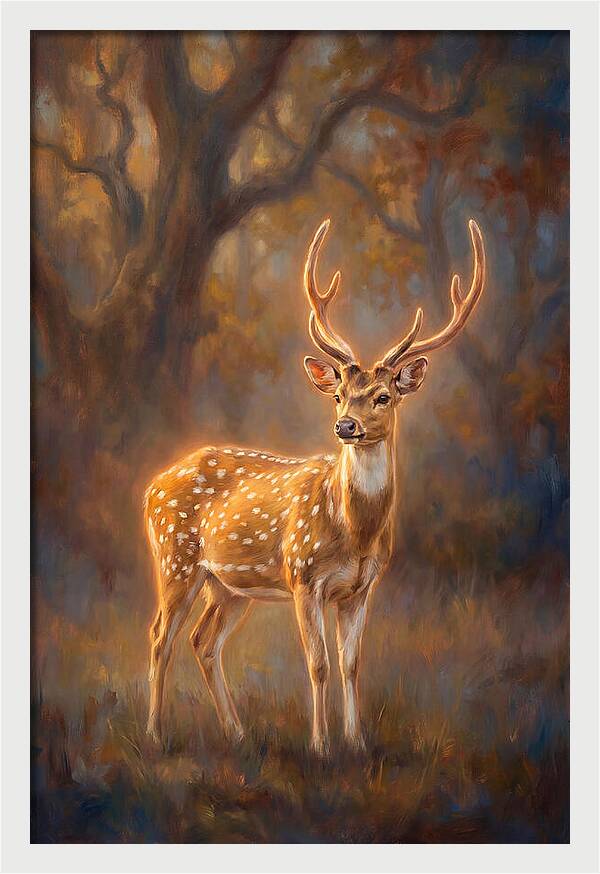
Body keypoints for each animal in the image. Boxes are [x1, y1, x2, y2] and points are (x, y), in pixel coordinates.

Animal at [144, 217, 485, 754]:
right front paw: (320, 746)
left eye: (383, 396)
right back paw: (156, 734)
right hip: (174, 556)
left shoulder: (361, 588)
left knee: (203, 640)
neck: (355, 532)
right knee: (161, 636)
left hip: (229, 585)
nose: (346, 425)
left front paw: (357, 742)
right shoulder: (303, 577)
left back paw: (237, 732)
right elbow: (318, 664)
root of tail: (151, 486)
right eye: (340, 394)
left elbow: (351, 664)